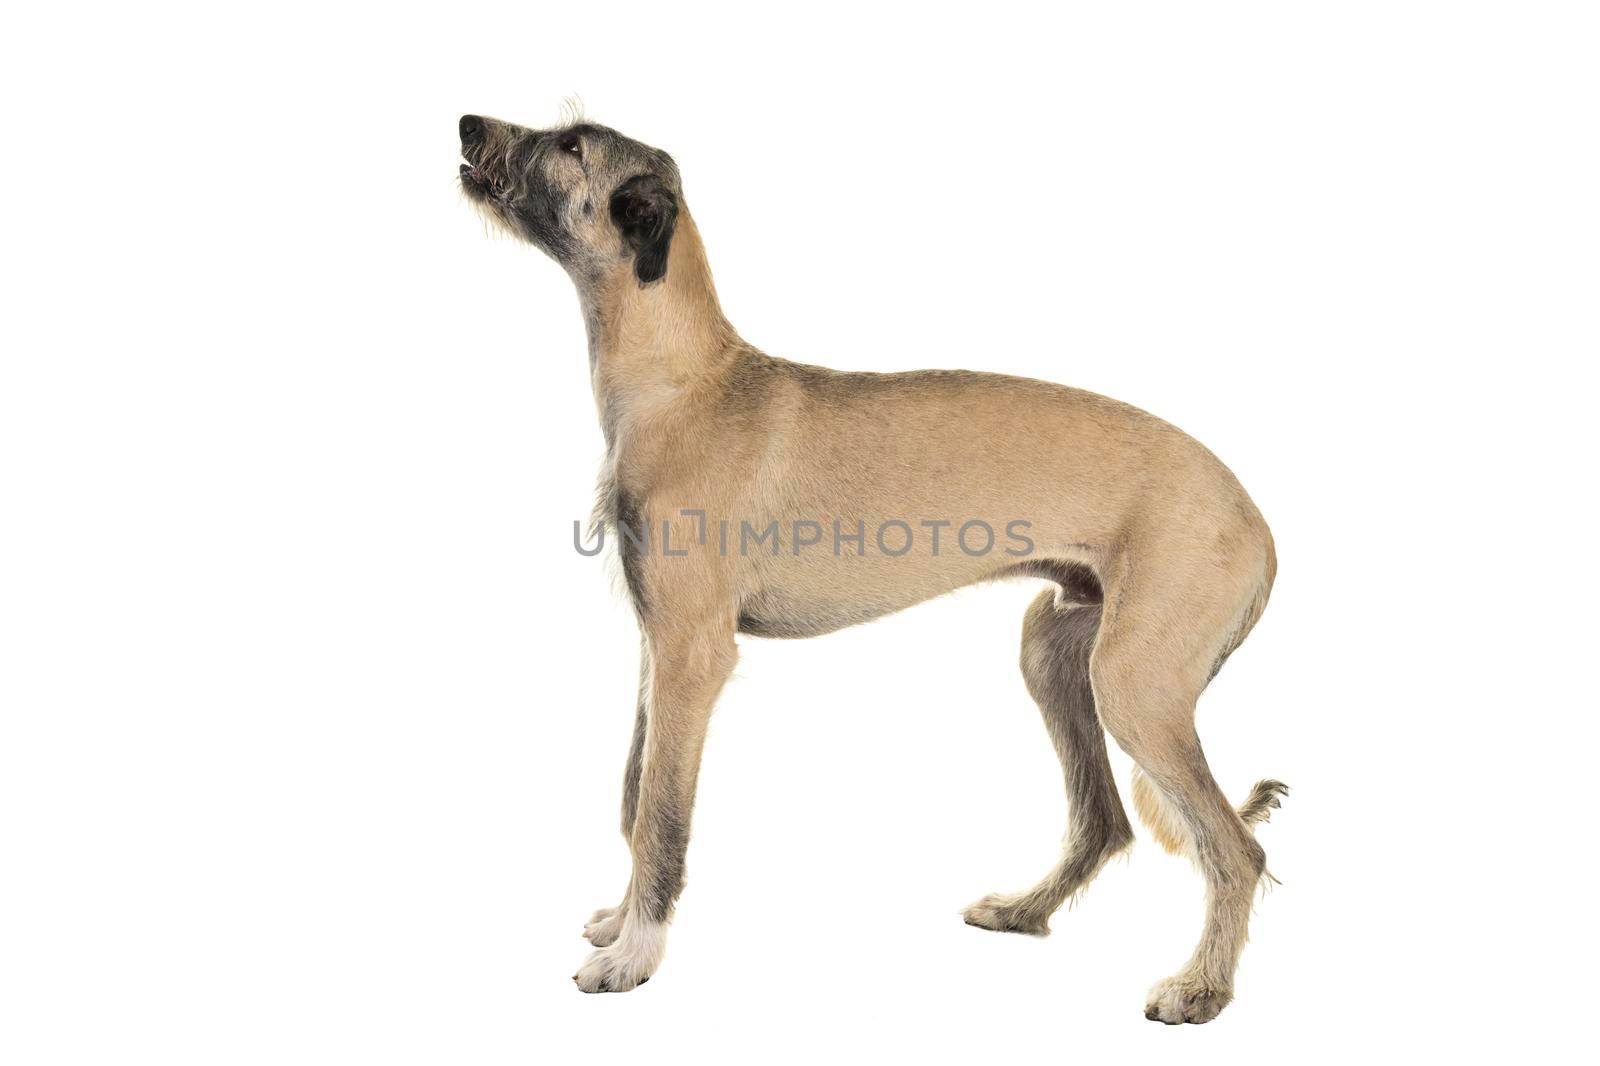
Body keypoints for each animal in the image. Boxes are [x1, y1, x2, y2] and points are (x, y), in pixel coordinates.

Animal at [457, 109, 1280, 1024]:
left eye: (572, 145)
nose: (467, 125)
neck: (685, 383)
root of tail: (1254, 516)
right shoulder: (654, 645)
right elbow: (635, 798)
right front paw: (620, 922)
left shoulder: (691, 656)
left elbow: (663, 815)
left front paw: (635, 954)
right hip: (1057, 650)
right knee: (1106, 821)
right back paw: (1023, 911)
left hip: (1136, 684)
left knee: (1235, 849)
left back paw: (1200, 987)